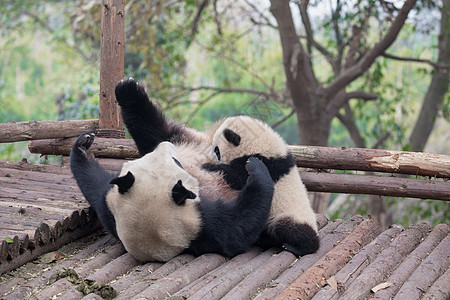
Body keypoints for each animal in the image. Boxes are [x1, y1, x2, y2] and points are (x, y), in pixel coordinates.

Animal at [71, 132, 274, 262]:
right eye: (176, 162)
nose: (167, 143)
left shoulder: (110, 208)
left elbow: (94, 184)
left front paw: (83, 145)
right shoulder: (202, 226)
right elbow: (241, 225)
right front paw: (256, 167)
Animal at [202, 115, 318, 255]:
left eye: (217, 150)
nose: (209, 156)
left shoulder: (264, 162)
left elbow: (238, 178)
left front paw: (208, 166)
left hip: (289, 215)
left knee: (292, 229)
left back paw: (297, 247)